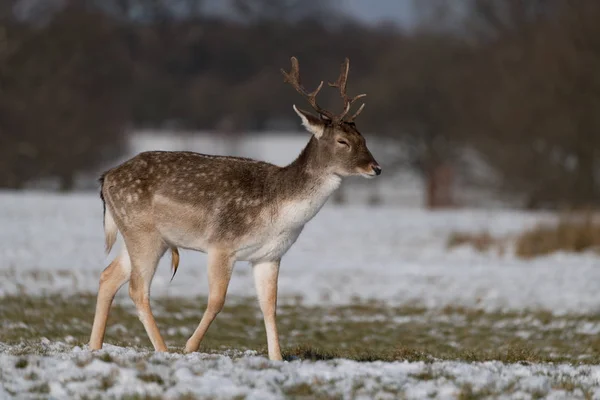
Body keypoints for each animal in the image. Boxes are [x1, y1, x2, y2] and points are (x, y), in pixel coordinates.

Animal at [87, 55, 382, 360]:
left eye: (363, 138)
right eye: (342, 141)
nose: (375, 168)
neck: (278, 212)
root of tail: (106, 177)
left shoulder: (269, 256)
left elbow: (270, 307)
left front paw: (277, 358)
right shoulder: (221, 245)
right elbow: (217, 300)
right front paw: (190, 347)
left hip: (140, 235)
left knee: (108, 276)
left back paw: (94, 346)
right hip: (144, 233)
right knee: (137, 288)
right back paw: (164, 349)